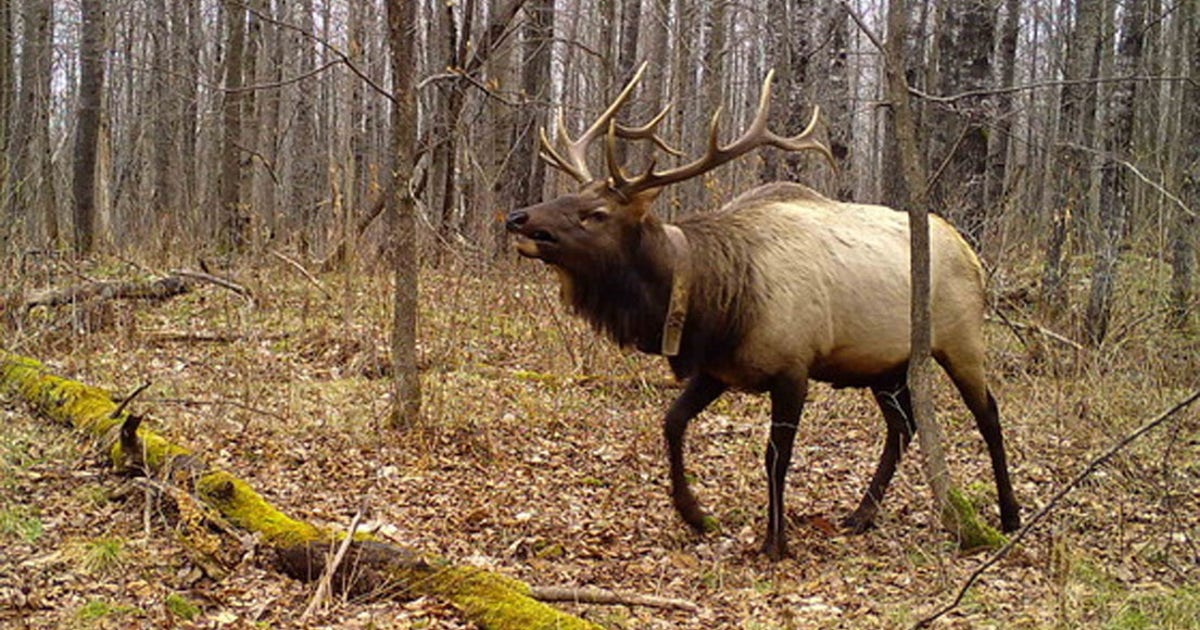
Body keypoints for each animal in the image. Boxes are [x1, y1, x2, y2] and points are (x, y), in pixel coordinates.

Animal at [504, 64, 1020, 560]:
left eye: (596, 213)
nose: (517, 218)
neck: (713, 305)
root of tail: (973, 256)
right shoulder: (718, 369)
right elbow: (672, 422)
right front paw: (695, 514)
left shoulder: (793, 368)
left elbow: (776, 456)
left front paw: (776, 541)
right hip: (885, 366)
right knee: (903, 425)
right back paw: (861, 514)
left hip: (960, 341)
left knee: (989, 416)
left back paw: (1010, 515)